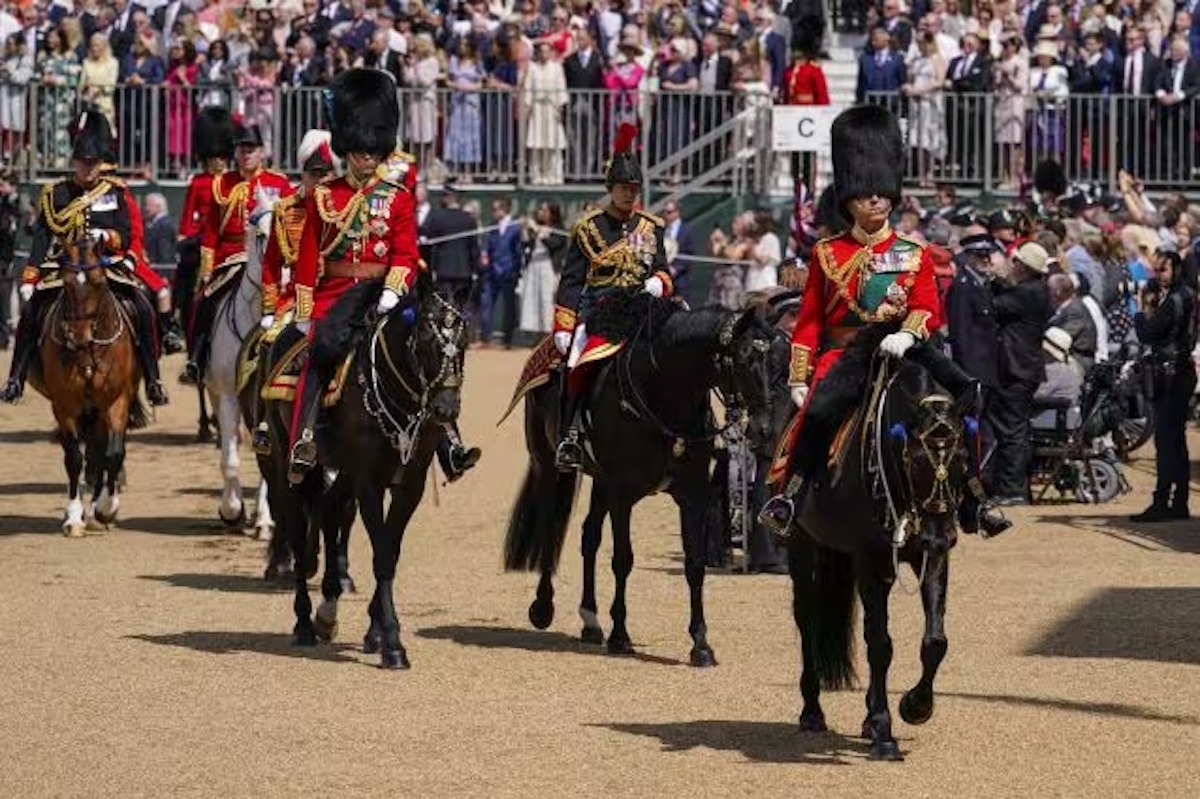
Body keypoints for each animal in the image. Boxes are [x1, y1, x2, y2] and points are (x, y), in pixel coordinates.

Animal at [29, 237, 147, 535]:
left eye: (99, 282)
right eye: (68, 284)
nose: (79, 338)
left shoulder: (116, 401)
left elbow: (111, 453)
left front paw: (106, 508)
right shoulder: (65, 405)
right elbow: (74, 458)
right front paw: (73, 516)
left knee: (100, 453)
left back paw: (97, 509)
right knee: (89, 455)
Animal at [266, 279, 468, 667]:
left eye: (463, 343)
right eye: (425, 340)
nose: (446, 409)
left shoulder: (409, 485)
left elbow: (390, 549)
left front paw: (376, 632)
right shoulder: (368, 482)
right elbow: (382, 555)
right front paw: (393, 642)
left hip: (342, 472)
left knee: (330, 510)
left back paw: (328, 609)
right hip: (288, 466)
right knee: (298, 532)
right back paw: (304, 624)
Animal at [501, 302, 772, 662]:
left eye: (771, 359)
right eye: (743, 359)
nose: (765, 429)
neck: (665, 398)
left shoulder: (693, 496)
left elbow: (695, 564)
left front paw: (700, 644)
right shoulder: (622, 494)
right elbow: (622, 560)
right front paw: (620, 636)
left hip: (600, 481)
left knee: (589, 537)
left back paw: (590, 621)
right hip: (548, 465)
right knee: (550, 530)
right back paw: (543, 608)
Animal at [787, 328, 974, 758]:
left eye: (963, 458)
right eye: (915, 460)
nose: (942, 535)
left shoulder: (929, 557)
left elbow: (934, 640)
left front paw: (914, 707)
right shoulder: (868, 557)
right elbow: (879, 643)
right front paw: (886, 731)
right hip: (803, 547)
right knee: (808, 619)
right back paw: (812, 711)